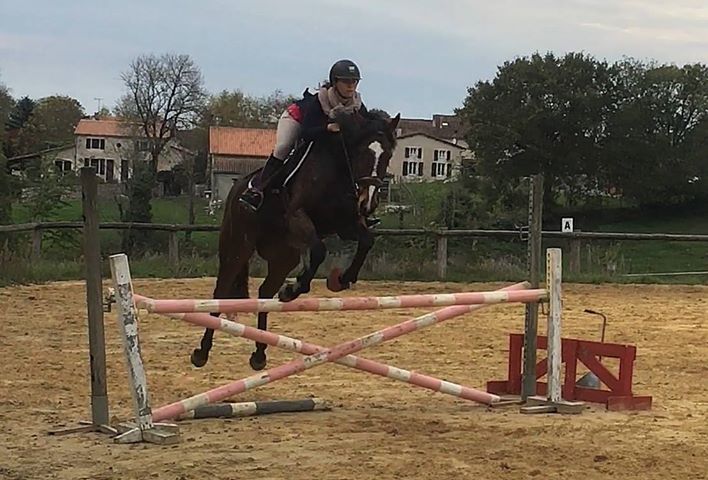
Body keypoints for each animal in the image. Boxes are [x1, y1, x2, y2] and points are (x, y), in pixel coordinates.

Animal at [189, 110, 398, 370]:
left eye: (387, 155)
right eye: (362, 152)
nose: (368, 204)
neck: (338, 169)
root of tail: (237, 188)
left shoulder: (345, 224)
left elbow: (367, 241)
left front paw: (342, 279)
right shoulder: (298, 216)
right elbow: (318, 251)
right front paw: (295, 288)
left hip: (283, 256)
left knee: (265, 292)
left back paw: (259, 354)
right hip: (238, 245)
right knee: (222, 290)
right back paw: (202, 352)